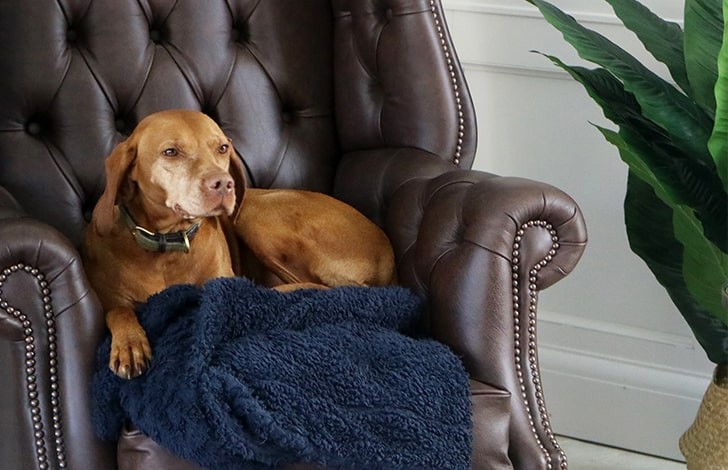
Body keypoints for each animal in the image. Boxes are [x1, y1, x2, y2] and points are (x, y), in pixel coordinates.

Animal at [84, 108, 396, 380]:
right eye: (170, 152)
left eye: (222, 148)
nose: (224, 184)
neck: (167, 243)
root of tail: (389, 259)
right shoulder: (111, 298)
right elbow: (119, 311)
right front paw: (130, 343)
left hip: (252, 213)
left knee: (316, 287)